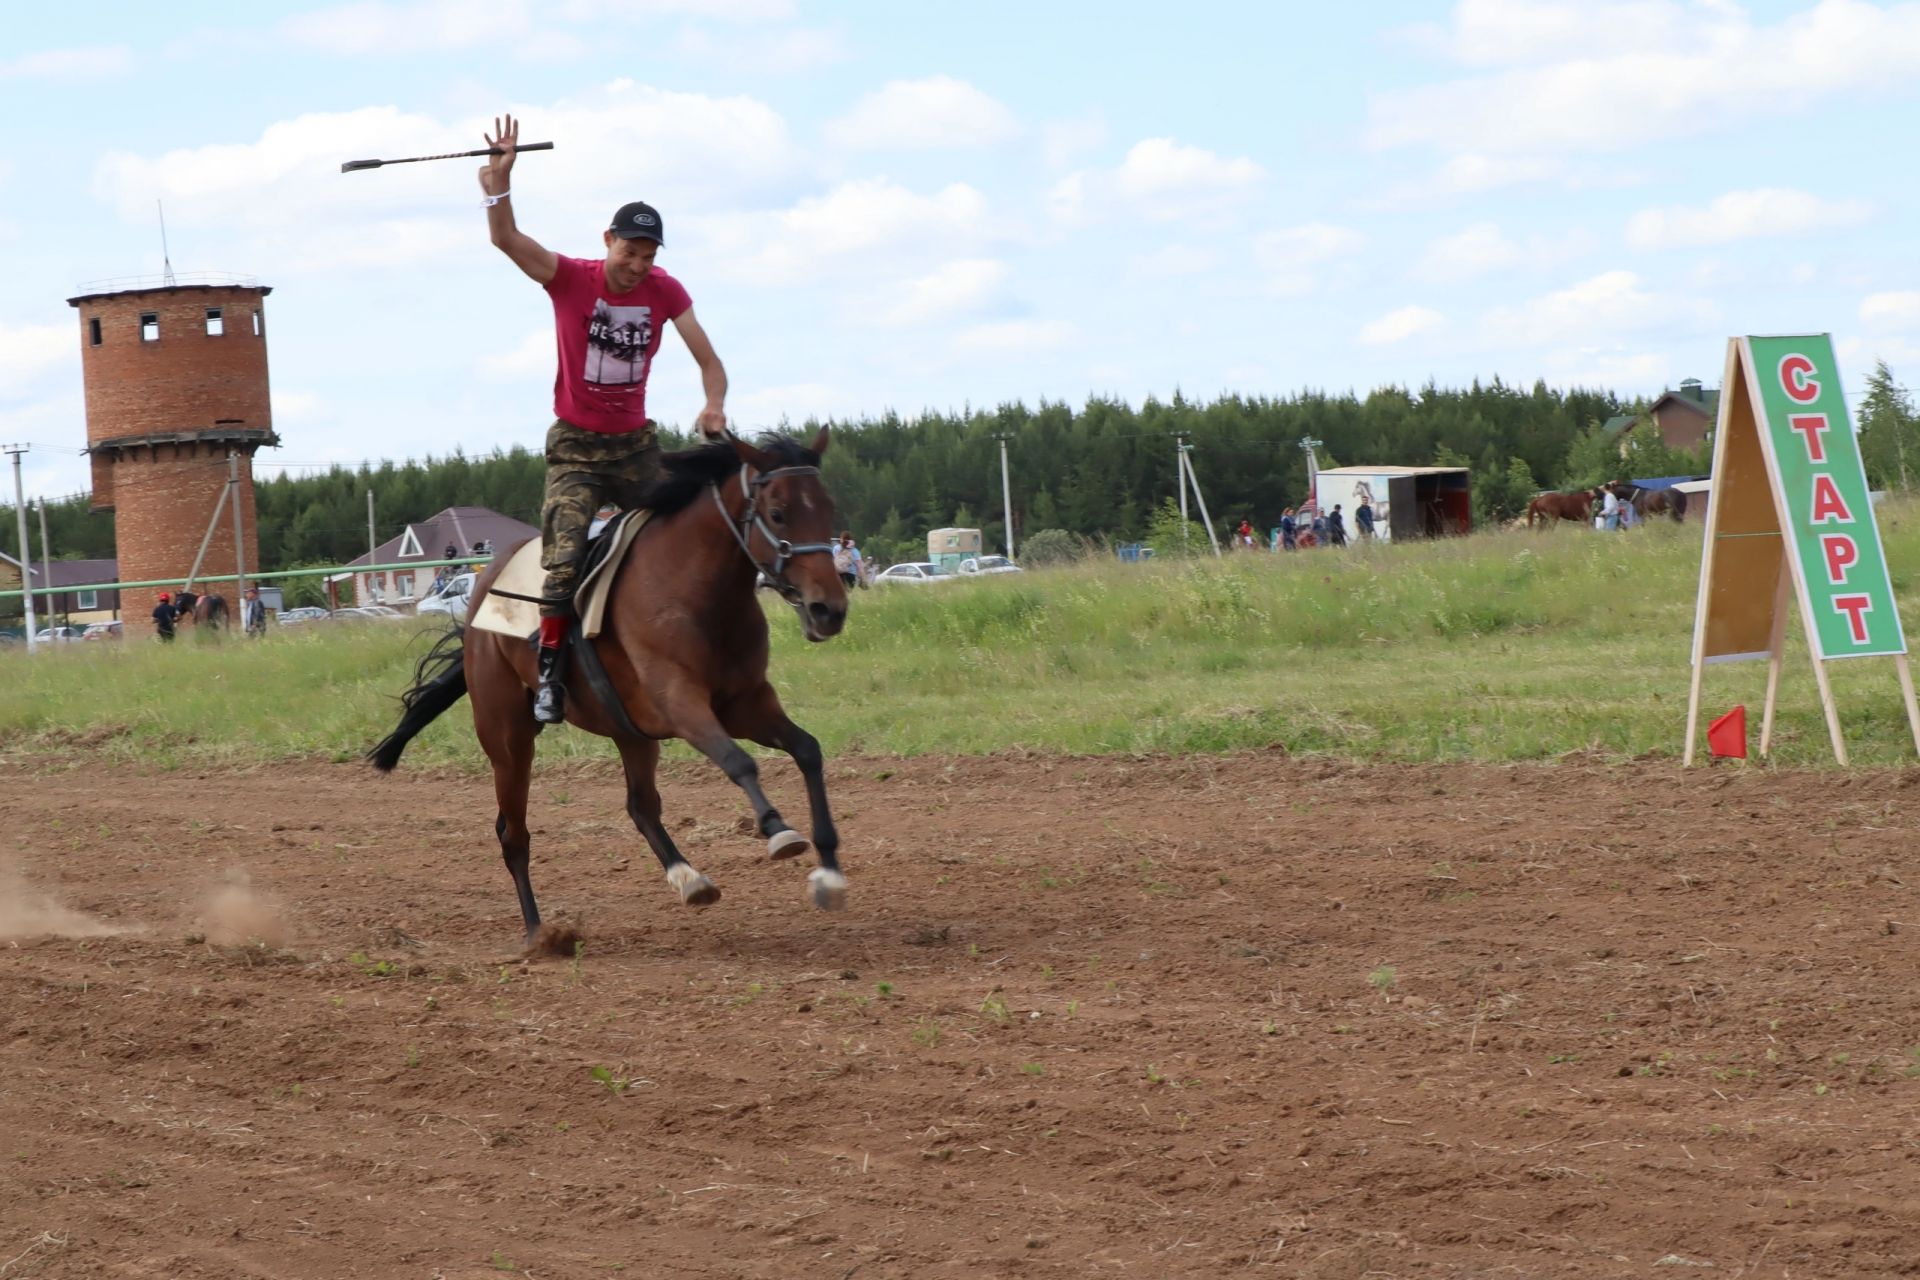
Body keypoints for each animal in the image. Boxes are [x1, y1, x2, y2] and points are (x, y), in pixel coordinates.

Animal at [366, 435, 848, 948]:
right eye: (777, 513)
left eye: (827, 507)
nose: (829, 609)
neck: (697, 590)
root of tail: (479, 598)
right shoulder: (681, 702)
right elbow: (739, 761)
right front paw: (778, 830)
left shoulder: (747, 704)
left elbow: (808, 750)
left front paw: (829, 874)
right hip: (507, 737)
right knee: (512, 832)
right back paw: (539, 933)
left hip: (630, 730)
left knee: (640, 806)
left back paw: (688, 878)